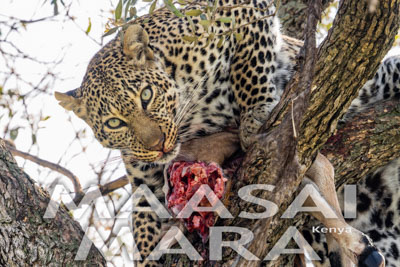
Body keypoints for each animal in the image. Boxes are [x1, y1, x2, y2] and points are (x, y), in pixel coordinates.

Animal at [54, 0, 400, 266]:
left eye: (146, 95)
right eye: (114, 123)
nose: (159, 145)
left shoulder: (239, 12)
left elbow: (249, 70)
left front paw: (256, 115)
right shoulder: (147, 180)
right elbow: (143, 219)